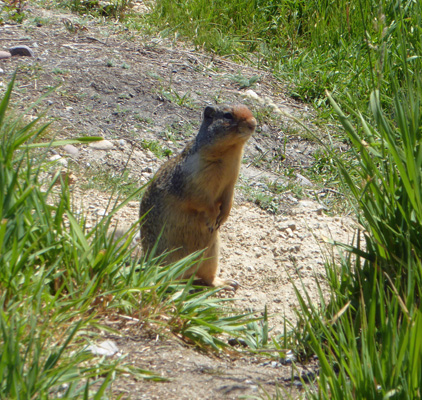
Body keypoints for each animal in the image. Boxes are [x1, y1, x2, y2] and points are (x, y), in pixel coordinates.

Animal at [140, 104, 256, 286]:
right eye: (228, 116)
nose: (253, 123)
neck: (230, 152)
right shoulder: (194, 181)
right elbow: (202, 201)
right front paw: (212, 218)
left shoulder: (231, 181)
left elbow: (229, 198)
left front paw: (223, 216)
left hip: (211, 256)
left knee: (207, 278)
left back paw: (226, 283)